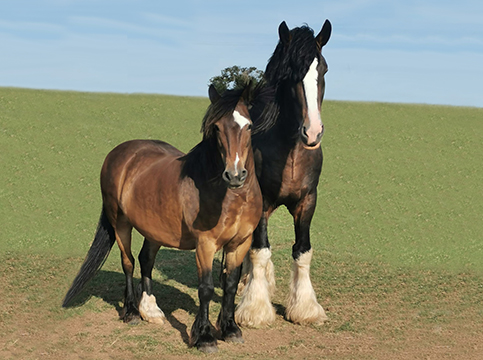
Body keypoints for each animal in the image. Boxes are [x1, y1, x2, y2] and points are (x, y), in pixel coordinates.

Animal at [62, 83, 268, 352]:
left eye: (249, 125)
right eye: (216, 127)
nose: (234, 175)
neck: (231, 197)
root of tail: (120, 153)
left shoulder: (240, 243)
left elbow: (231, 284)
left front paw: (230, 329)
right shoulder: (205, 244)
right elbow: (206, 288)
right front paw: (204, 337)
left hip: (154, 229)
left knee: (145, 260)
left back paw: (151, 310)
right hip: (120, 223)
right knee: (129, 262)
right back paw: (131, 312)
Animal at [235, 21, 332, 328]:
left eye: (323, 70)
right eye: (291, 74)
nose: (312, 133)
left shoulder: (307, 201)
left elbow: (302, 250)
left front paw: (305, 308)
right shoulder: (262, 200)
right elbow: (260, 249)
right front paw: (255, 308)